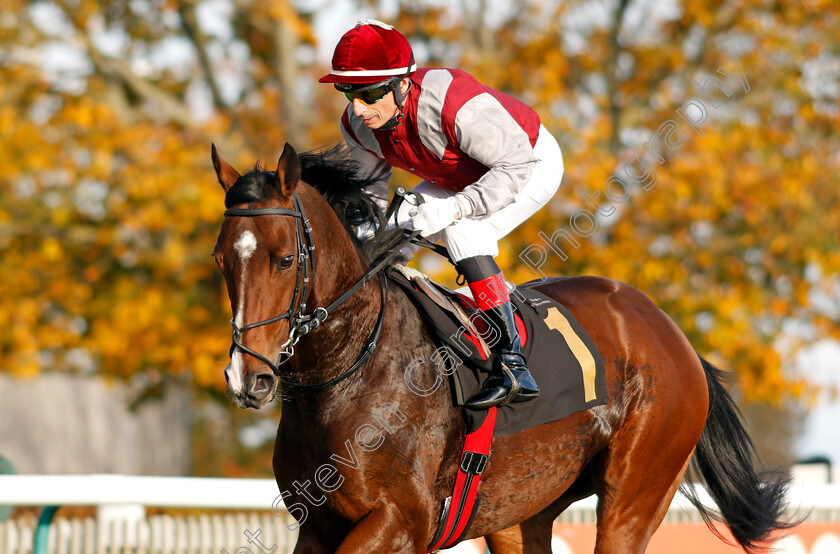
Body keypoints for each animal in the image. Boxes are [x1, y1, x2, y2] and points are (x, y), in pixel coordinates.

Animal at [212, 143, 796, 552]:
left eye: (285, 259)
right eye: (221, 259)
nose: (249, 378)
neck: (350, 369)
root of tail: (668, 330)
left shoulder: (401, 522)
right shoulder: (317, 525)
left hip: (635, 494)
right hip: (523, 511)